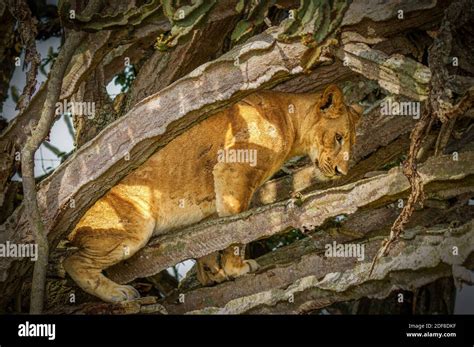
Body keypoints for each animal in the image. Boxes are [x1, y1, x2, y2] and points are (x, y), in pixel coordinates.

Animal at [62, 85, 360, 304]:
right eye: (338, 138)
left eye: (349, 141)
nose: (342, 171)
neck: (290, 121)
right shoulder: (234, 171)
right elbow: (236, 231)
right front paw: (236, 268)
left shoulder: (214, 198)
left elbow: (210, 238)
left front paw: (212, 275)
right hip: (134, 227)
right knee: (72, 261)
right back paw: (118, 293)